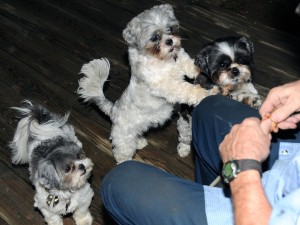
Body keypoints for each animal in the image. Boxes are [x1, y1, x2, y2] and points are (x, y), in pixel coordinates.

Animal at [77, 3, 218, 163]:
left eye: (170, 29)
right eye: (155, 37)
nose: (170, 41)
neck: (163, 59)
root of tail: (113, 110)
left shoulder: (182, 60)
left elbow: (191, 67)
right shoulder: (166, 85)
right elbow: (186, 89)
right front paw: (205, 93)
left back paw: (140, 142)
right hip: (124, 139)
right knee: (121, 154)